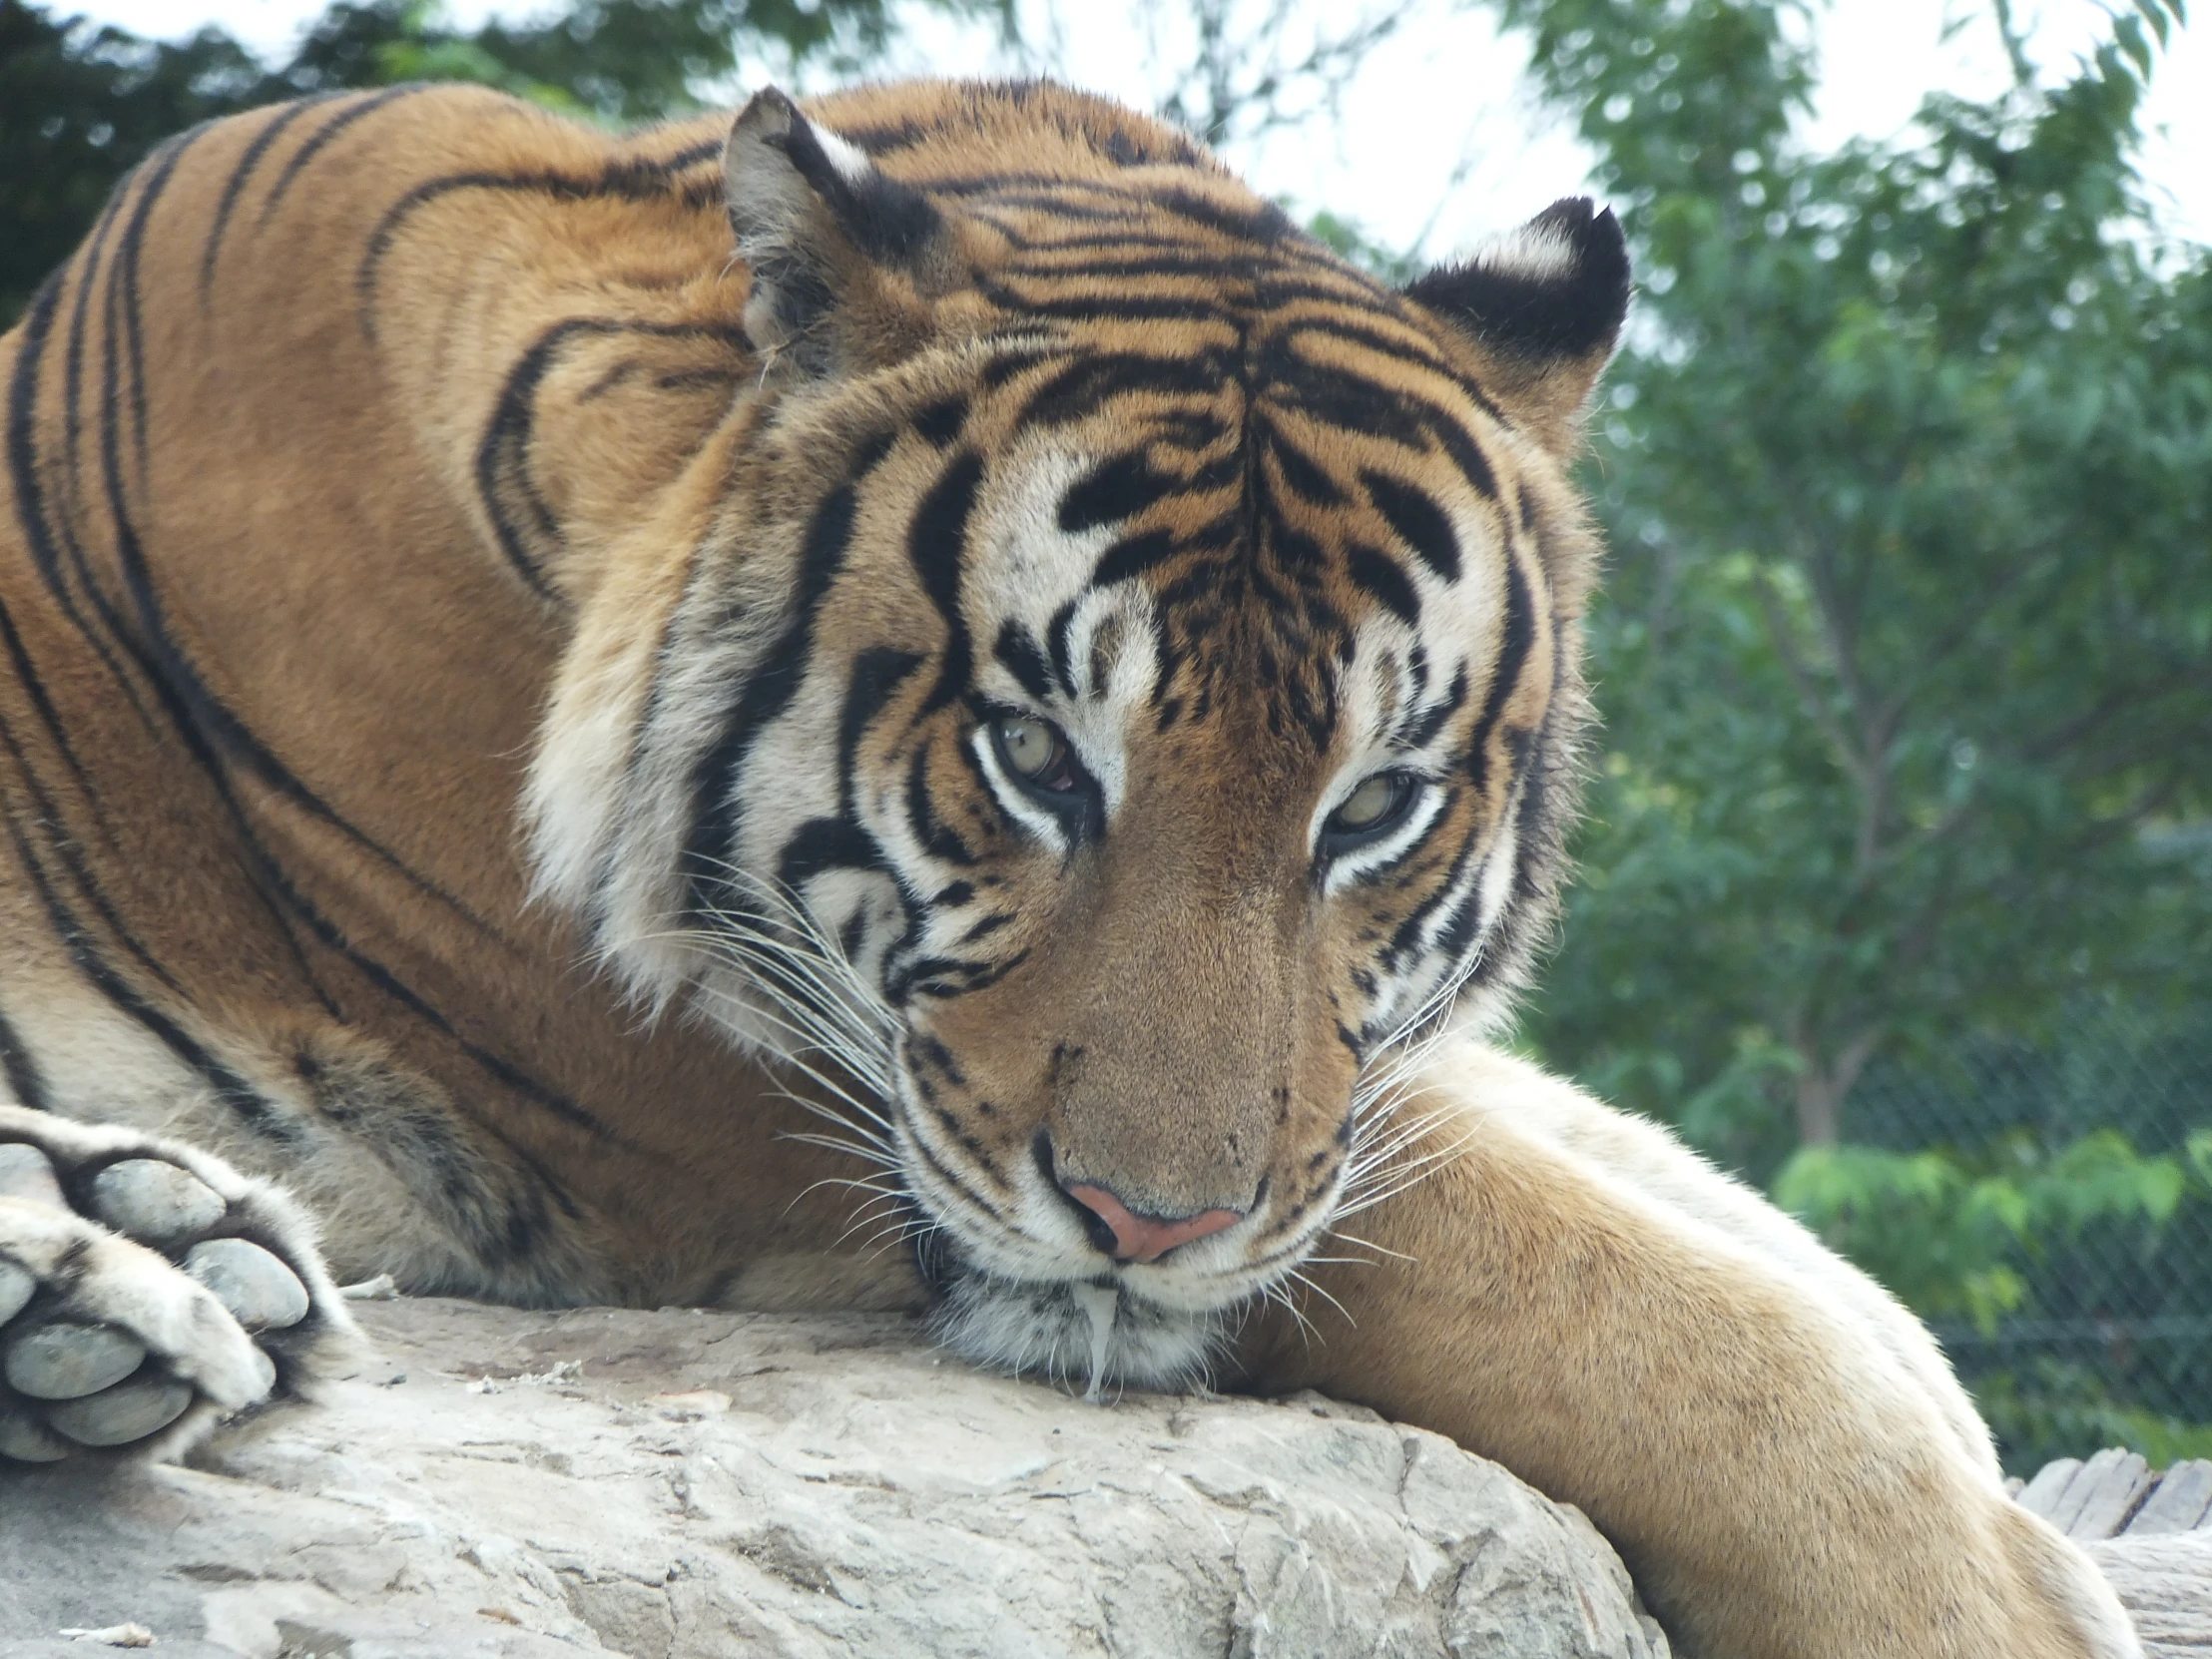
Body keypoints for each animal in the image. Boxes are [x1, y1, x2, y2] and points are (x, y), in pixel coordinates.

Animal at [0, 71, 2141, 1654]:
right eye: (1031, 758)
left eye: (1371, 805)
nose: (1147, 1229)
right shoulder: (744, 1098)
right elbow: (1676, 1328)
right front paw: (1997, 1598)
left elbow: (1761, 1246)